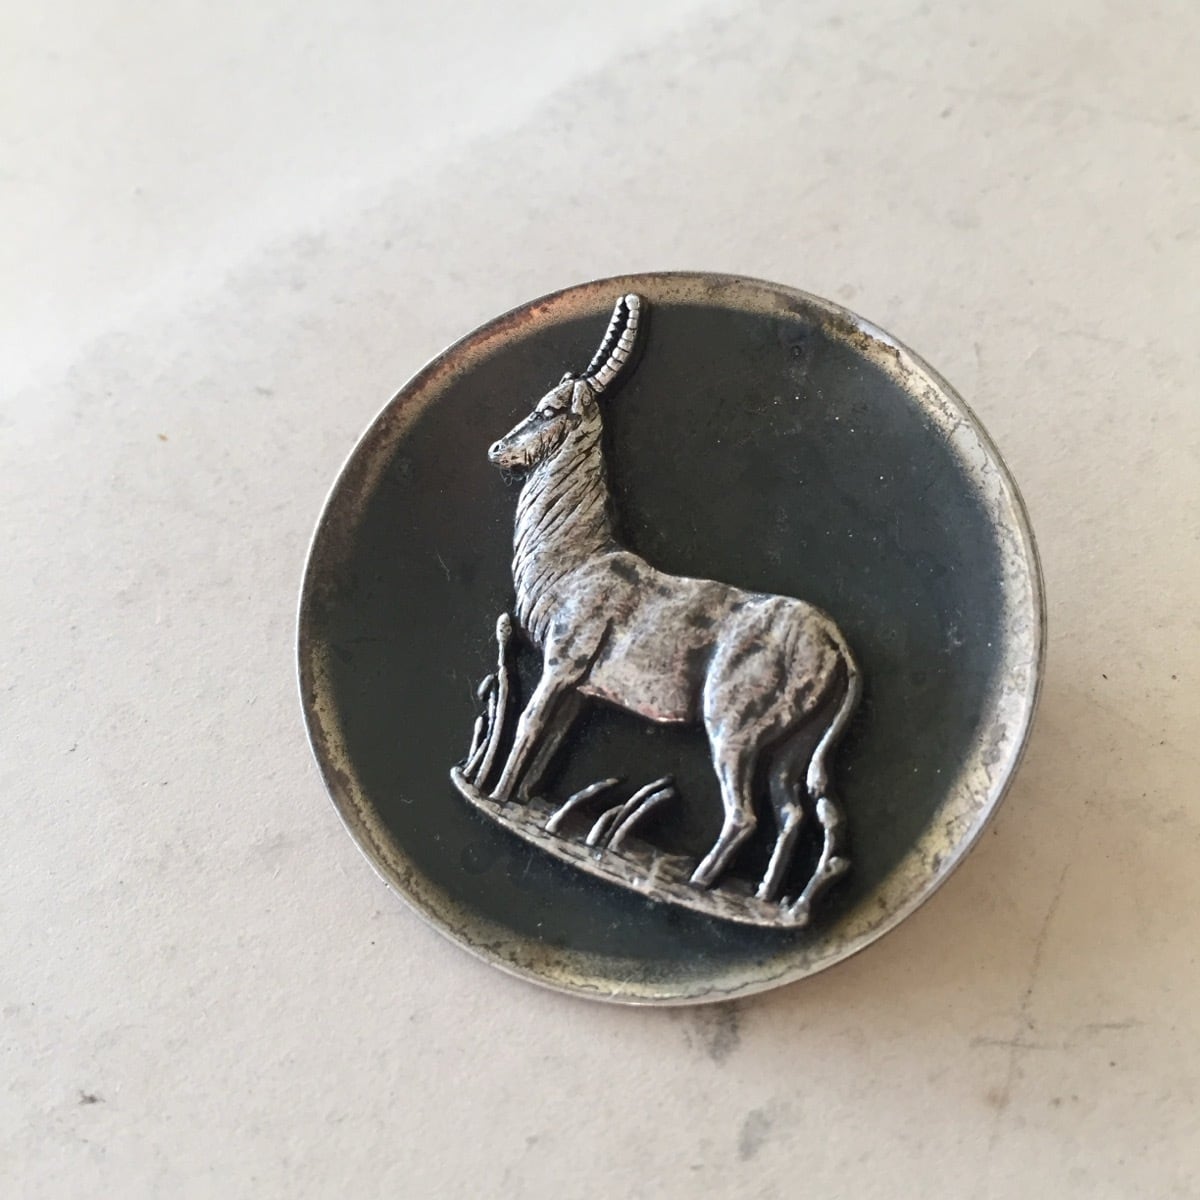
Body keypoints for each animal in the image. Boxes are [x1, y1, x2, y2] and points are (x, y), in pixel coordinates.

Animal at [484, 293, 862, 912]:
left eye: (548, 409)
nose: (497, 449)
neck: (577, 556)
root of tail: (837, 645)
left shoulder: (559, 666)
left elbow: (526, 725)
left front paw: (492, 795)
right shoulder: (582, 689)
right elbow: (552, 742)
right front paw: (526, 804)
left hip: (733, 733)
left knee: (745, 815)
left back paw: (694, 884)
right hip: (792, 750)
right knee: (793, 814)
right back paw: (766, 898)